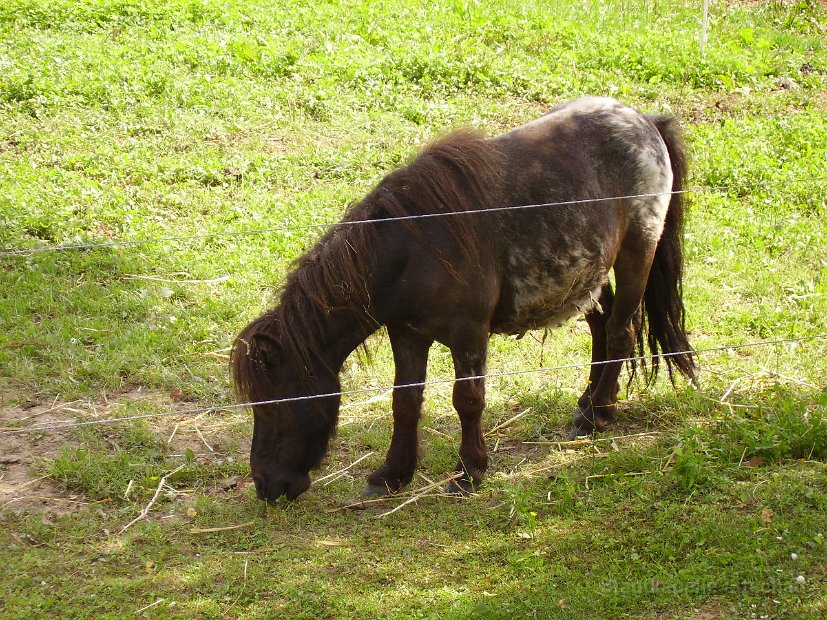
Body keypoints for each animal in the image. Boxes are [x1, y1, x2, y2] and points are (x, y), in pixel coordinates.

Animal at [233, 98, 700, 504]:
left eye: (274, 405)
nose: (266, 485)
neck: (412, 248)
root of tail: (645, 120)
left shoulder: (469, 335)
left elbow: (468, 400)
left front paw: (470, 471)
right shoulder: (407, 335)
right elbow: (404, 403)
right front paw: (392, 475)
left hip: (636, 252)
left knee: (621, 333)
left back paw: (597, 415)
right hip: (588, 274)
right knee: (603, 330)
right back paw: (587, 404)